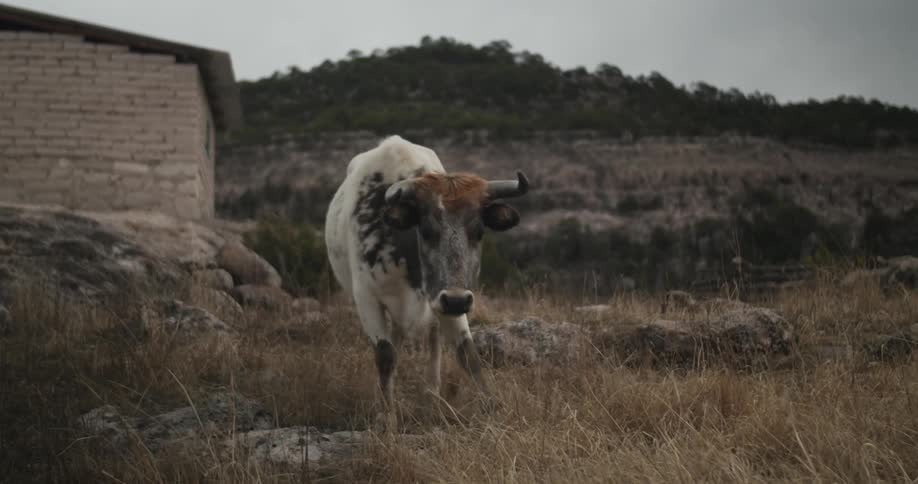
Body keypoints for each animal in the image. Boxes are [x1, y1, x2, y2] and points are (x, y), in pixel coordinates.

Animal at [324, 135, 529, 426]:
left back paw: (431, 397)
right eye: (427, 230)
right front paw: (387, 416)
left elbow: (467, 353)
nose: (456, 300)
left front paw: (494, 408)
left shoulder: (445, 299)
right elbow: (385, 354)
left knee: (432, 344)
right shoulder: (367, 299)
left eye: (479, 232)